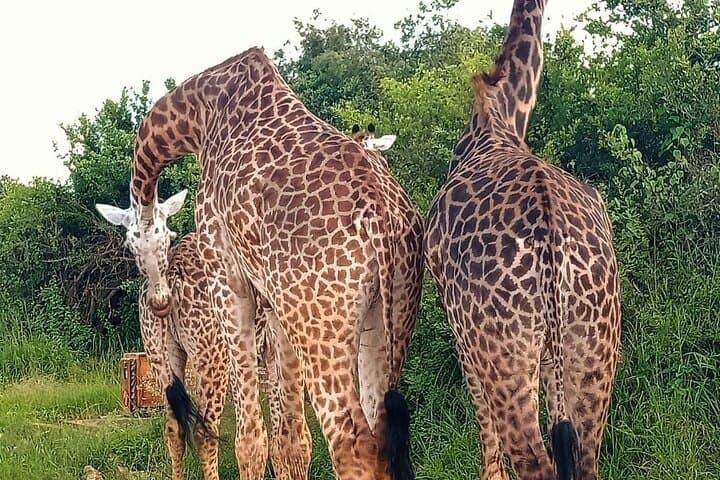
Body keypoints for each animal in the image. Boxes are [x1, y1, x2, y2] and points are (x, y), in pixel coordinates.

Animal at [104, 47, 424, 480]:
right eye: (132, 246)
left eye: (163, 240)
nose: (160, 301)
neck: (200, 113)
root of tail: (384, 221)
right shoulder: (273, 309)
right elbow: (291, 441)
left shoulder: (228, 277)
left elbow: (251, 442)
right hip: (388, 319)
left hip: (305, 332)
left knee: (348, 444)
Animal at [424, 1, 621, 479]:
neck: (502, 114)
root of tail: (551, 242)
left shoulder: (462, 335)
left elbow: (486, 436)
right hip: (594, 341)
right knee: (584, 458)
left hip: (506, 350)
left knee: (534, 459)